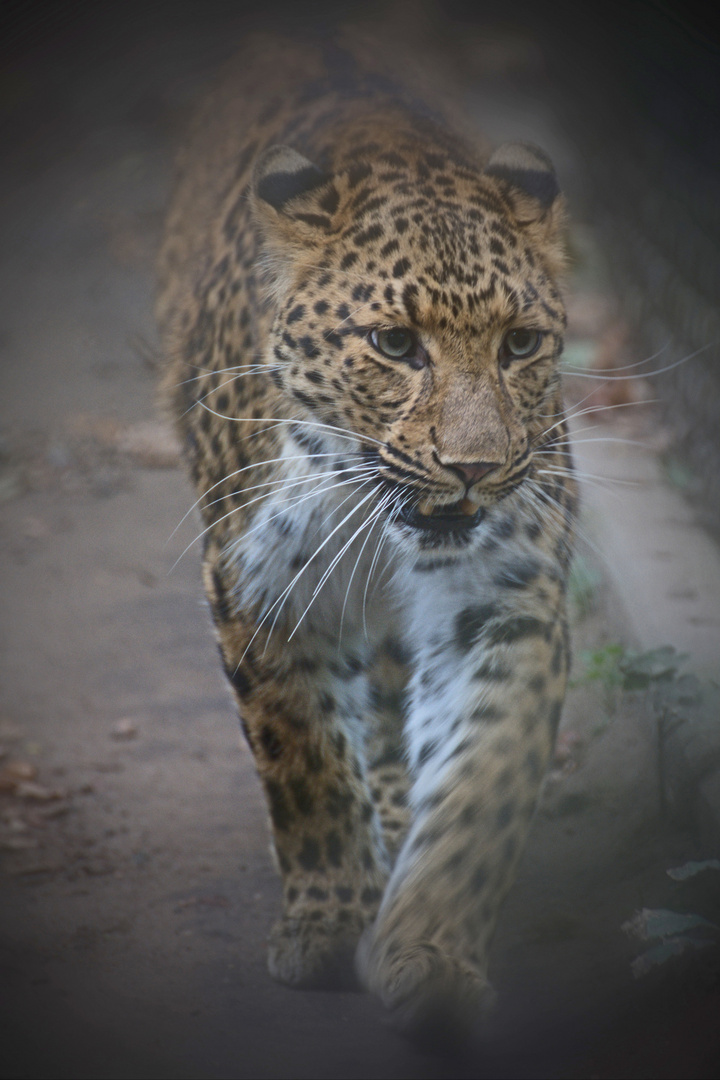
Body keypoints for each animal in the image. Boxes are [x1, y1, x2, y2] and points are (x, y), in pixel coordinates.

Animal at [156, 29, 574, 1032]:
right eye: (394, 345)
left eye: (520, 345)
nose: (474, 467)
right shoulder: (260, 583)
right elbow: (302, 756)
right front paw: (330, 920)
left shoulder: (507, 596)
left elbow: (485, 778)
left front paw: (431, 949)